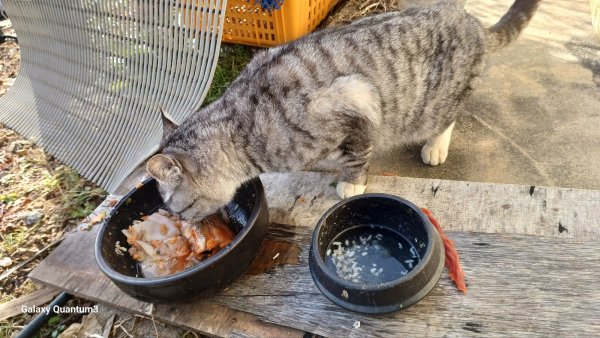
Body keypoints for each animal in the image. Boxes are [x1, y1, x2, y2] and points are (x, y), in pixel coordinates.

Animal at [146, 0, 544, 222]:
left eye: (177, 209)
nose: (184, 223)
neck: (241, 127)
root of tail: (471, 21)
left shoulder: (356, 98)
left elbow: (357, 154)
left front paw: (351, 183)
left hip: (433, 104)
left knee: (446, 118)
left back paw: (435, 146)